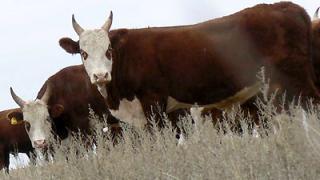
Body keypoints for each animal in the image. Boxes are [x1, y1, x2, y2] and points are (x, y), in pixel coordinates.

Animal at [58, 1, 320, 131]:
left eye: (108, 50)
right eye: (83, 53)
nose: (100, 75)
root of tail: (288, 6)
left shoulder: (154, 103)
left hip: (295, 79)